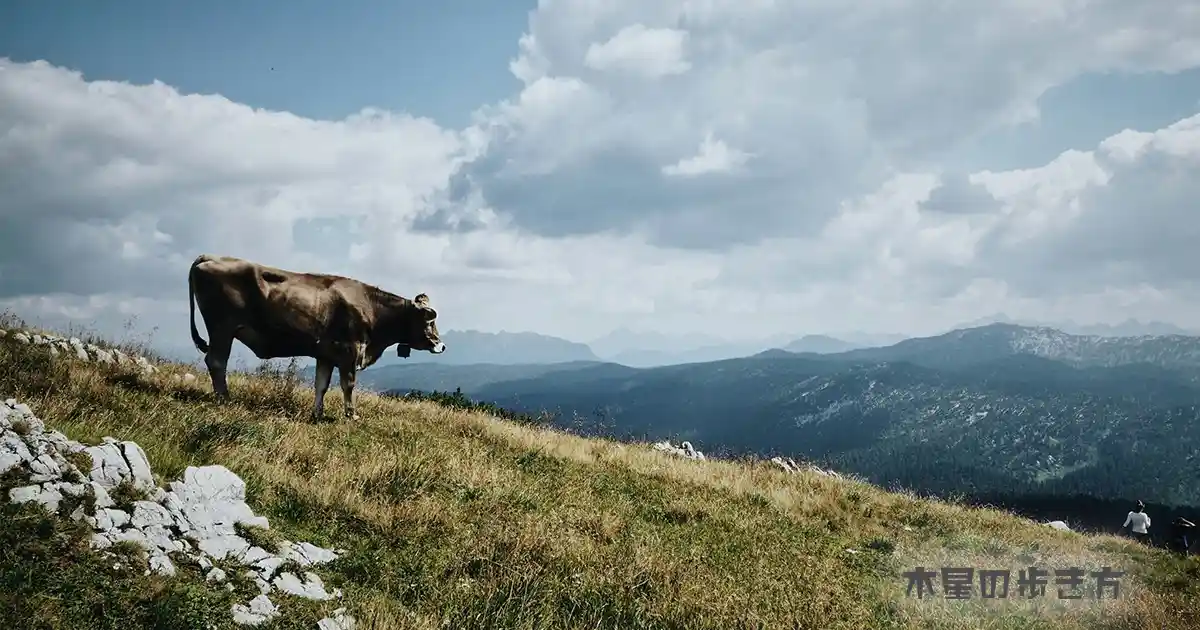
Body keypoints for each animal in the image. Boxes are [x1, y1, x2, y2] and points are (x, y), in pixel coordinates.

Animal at [184, 253, 448, 420]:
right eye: (430, 320)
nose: (442, 346)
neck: (373, 309)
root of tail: (210, 256)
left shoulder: (326, 354)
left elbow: (321, 385)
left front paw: (318, 414)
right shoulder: (350, 349)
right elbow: (348, 384)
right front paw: (351, 415)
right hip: (222, 328)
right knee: (217, 361)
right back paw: (224, 399)